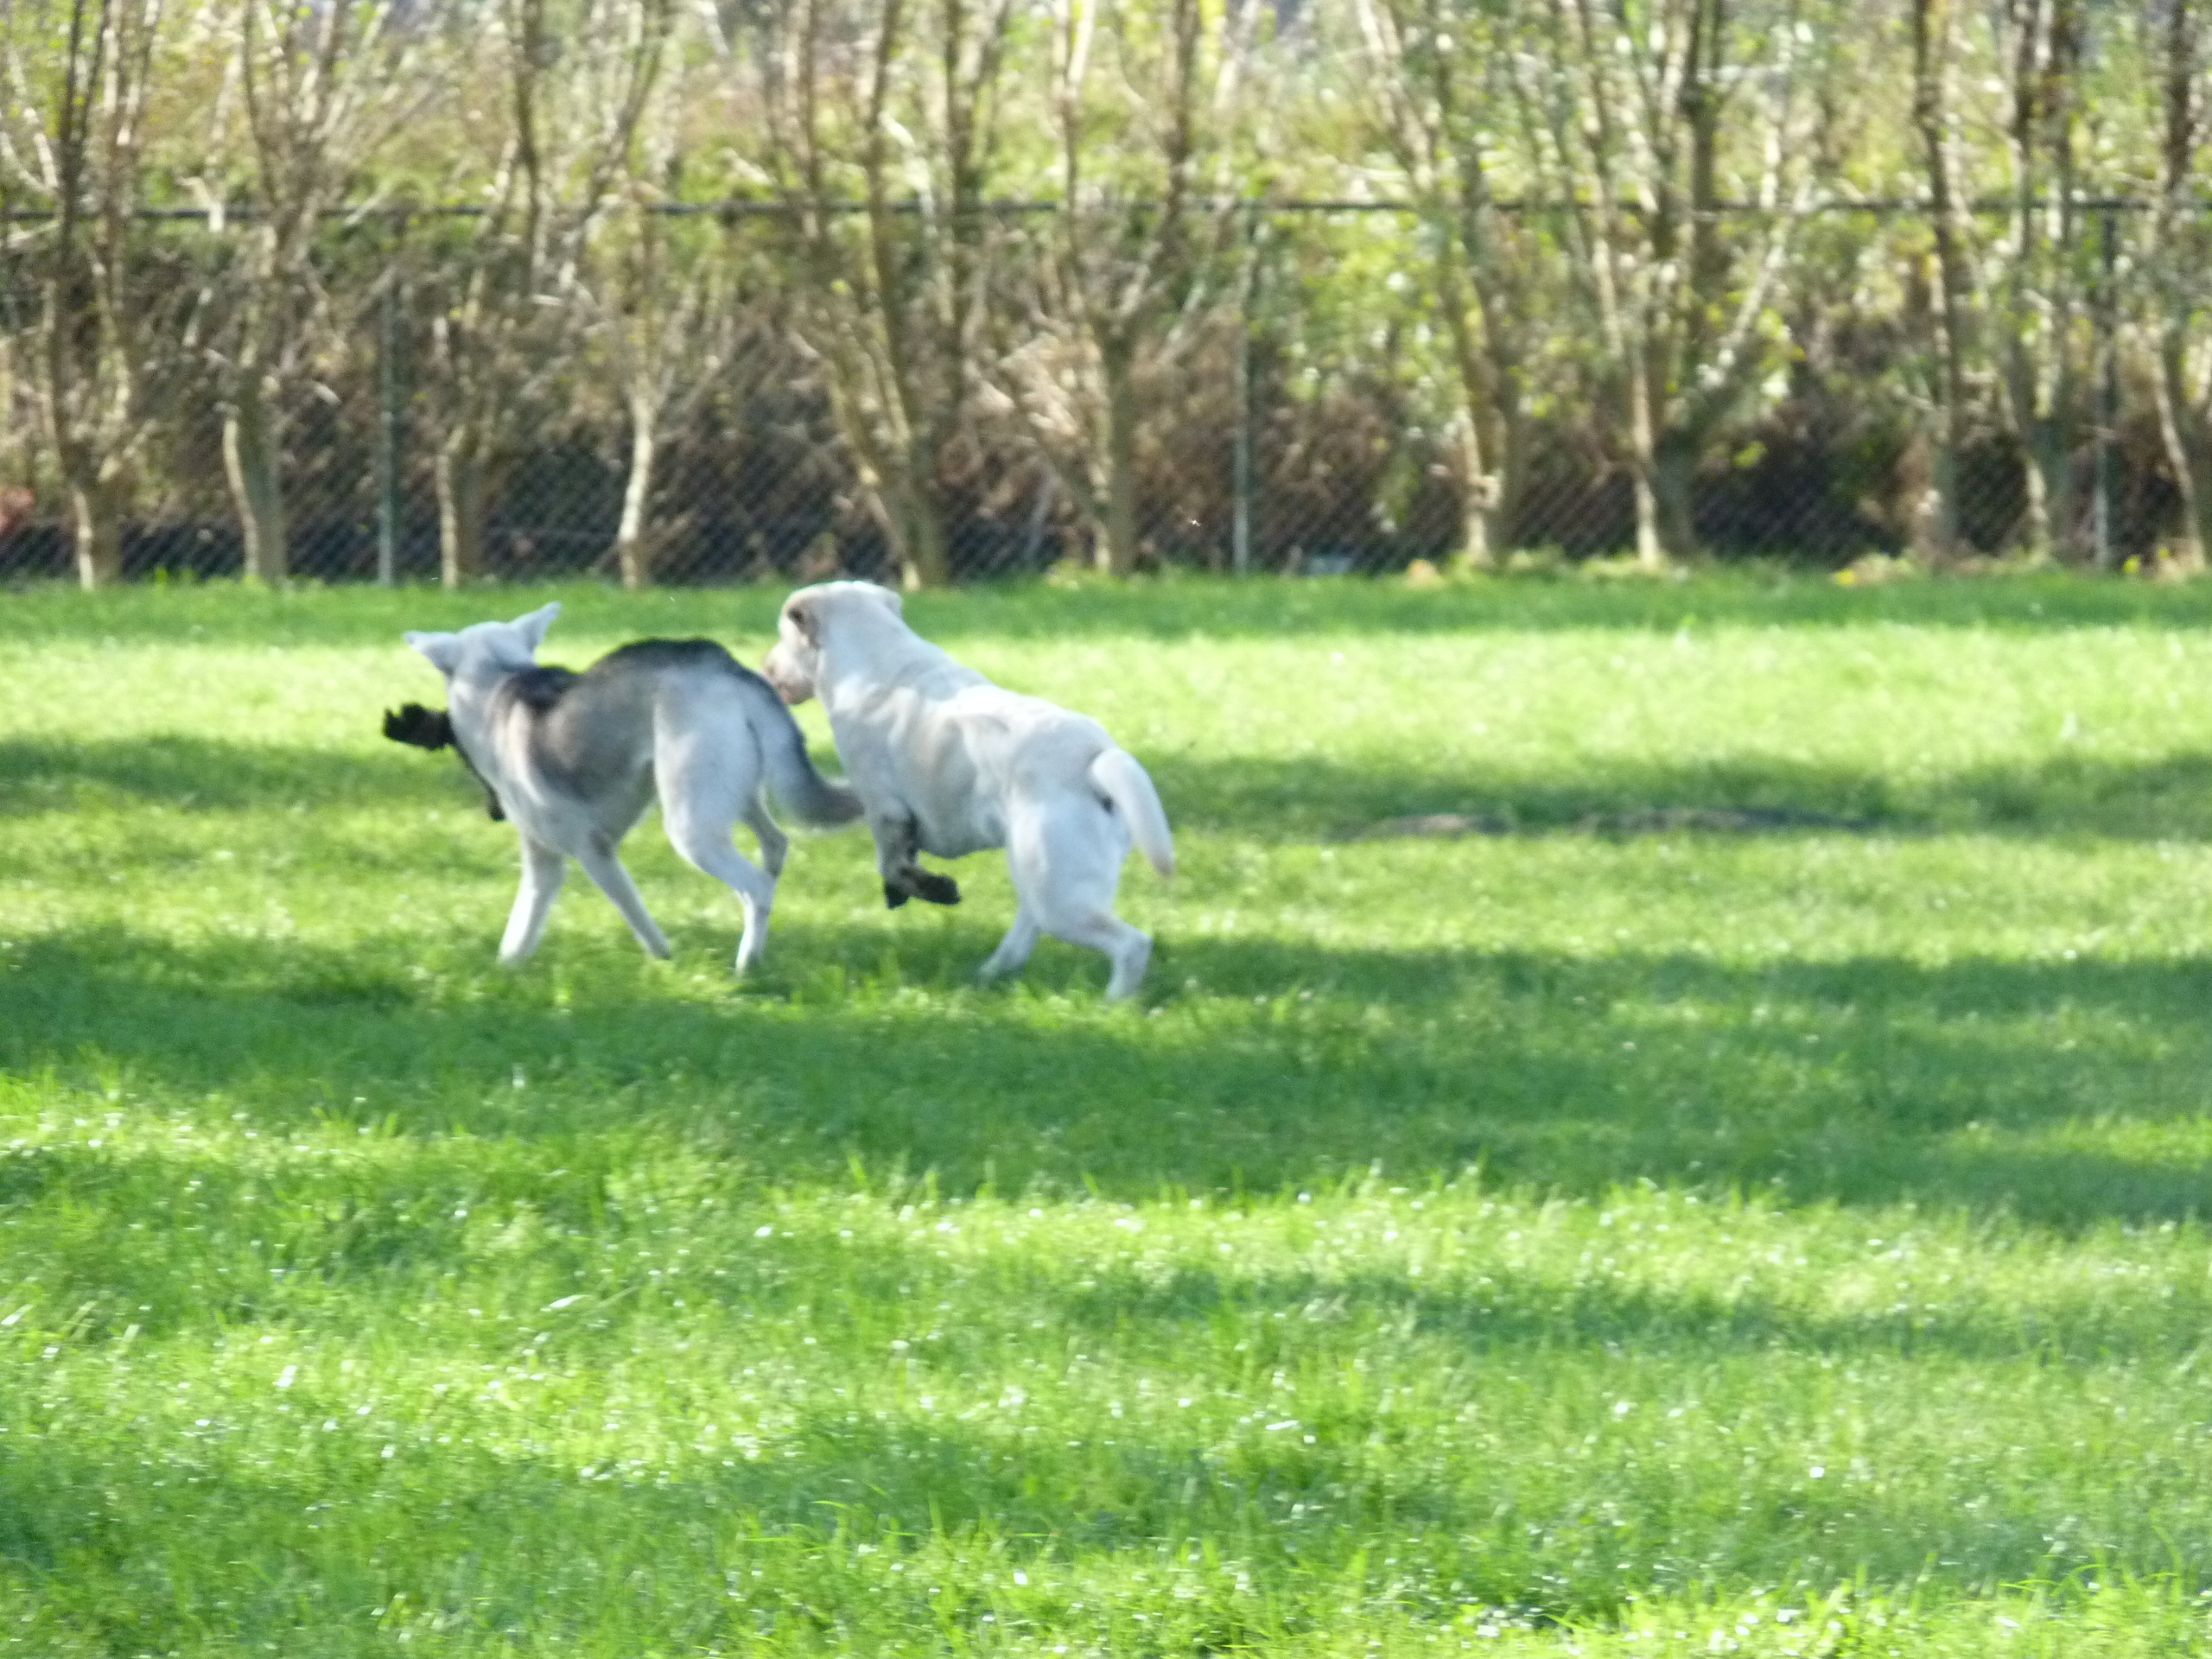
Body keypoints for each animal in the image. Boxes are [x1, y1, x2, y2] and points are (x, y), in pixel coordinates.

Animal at [403, 603, 862, 973]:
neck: (501, 681)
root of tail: (718, 664)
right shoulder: (544, 862)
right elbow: (521, 927)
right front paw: (506, 968)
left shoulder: (589, 852)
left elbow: (634, 914)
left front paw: (664, 959)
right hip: (736, 794)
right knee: (775, 845)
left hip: (690, 829)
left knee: (757, 888)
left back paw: (747, 964)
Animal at [760, 581, 1174, 1000]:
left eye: (783, 636)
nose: (765, 666)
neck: (873, 657)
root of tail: (1096, 756)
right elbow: (901, 863)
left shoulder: (885, 809)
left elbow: (891, 864)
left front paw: (934, 889)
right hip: (1039, 878)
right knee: (1021, 940)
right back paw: (988, 976)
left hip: (1059, 901)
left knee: (1132, 945)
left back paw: (1113, 1003)